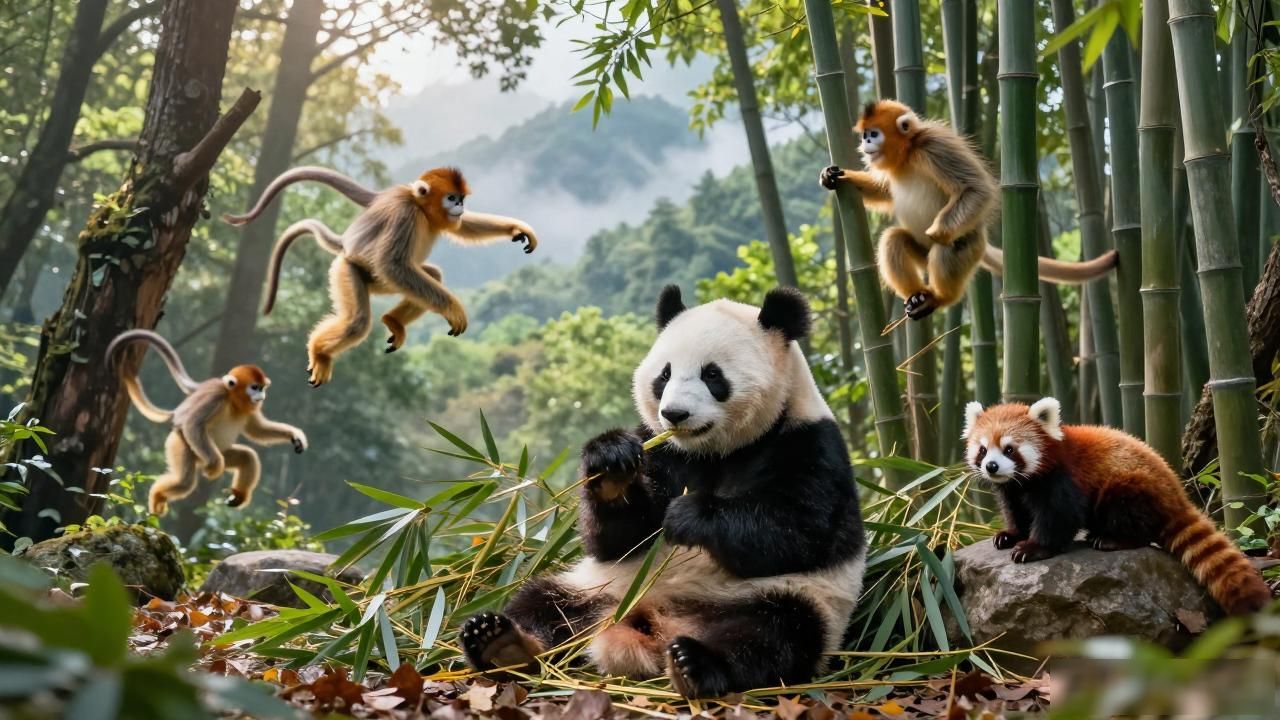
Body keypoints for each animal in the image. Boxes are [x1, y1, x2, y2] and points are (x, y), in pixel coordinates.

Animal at [460, 285, 866, 699]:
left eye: (712, 374)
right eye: (665, 374)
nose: (674, 414)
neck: (717, 451)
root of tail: (656, 621)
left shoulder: (809, 444)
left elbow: (799, 531)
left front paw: (690, 515)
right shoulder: (660, 448)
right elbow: (617, 540)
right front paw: (611, 467)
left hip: (787, 598)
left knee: (774, 634)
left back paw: (695, 663)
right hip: (597, 586)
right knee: (542, 602)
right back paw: (501, 644)